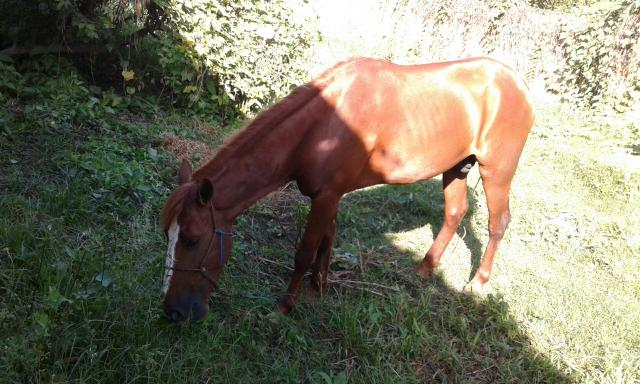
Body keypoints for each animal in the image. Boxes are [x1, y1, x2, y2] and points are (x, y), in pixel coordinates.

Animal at [160, 56, 536, 320]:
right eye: (169, 235)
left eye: (192, 239)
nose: (173, 313)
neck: (321, 127)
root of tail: (518, 85)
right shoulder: (333, 195)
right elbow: (328, 238)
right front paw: (320, 285)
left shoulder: (325, 196)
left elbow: (305, 251)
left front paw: (285, 307)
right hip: (456, 168)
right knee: (455, 213)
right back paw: (424, 270)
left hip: (496, 171)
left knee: (498, 223)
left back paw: (478, 283)